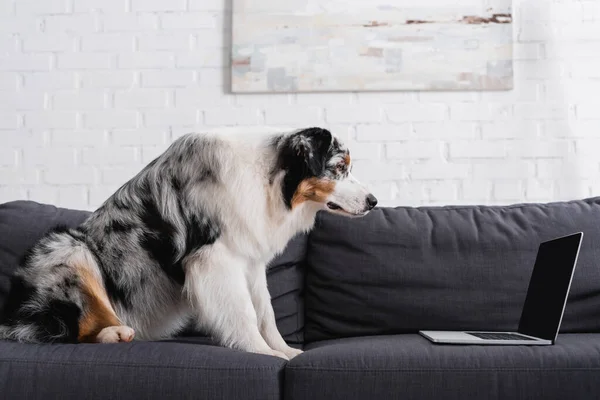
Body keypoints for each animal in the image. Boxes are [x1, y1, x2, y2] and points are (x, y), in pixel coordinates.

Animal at [0, 128, 376, 360]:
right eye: (339, 167)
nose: (373, 201)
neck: (267, 179)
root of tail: (11, 312)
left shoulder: (251, 260)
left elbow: (265, 312)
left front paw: (284, 351)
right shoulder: (216, 258)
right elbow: (243, 312)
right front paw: (262, 353)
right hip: (68, 247)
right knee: (65, 327)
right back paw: (114, 333)